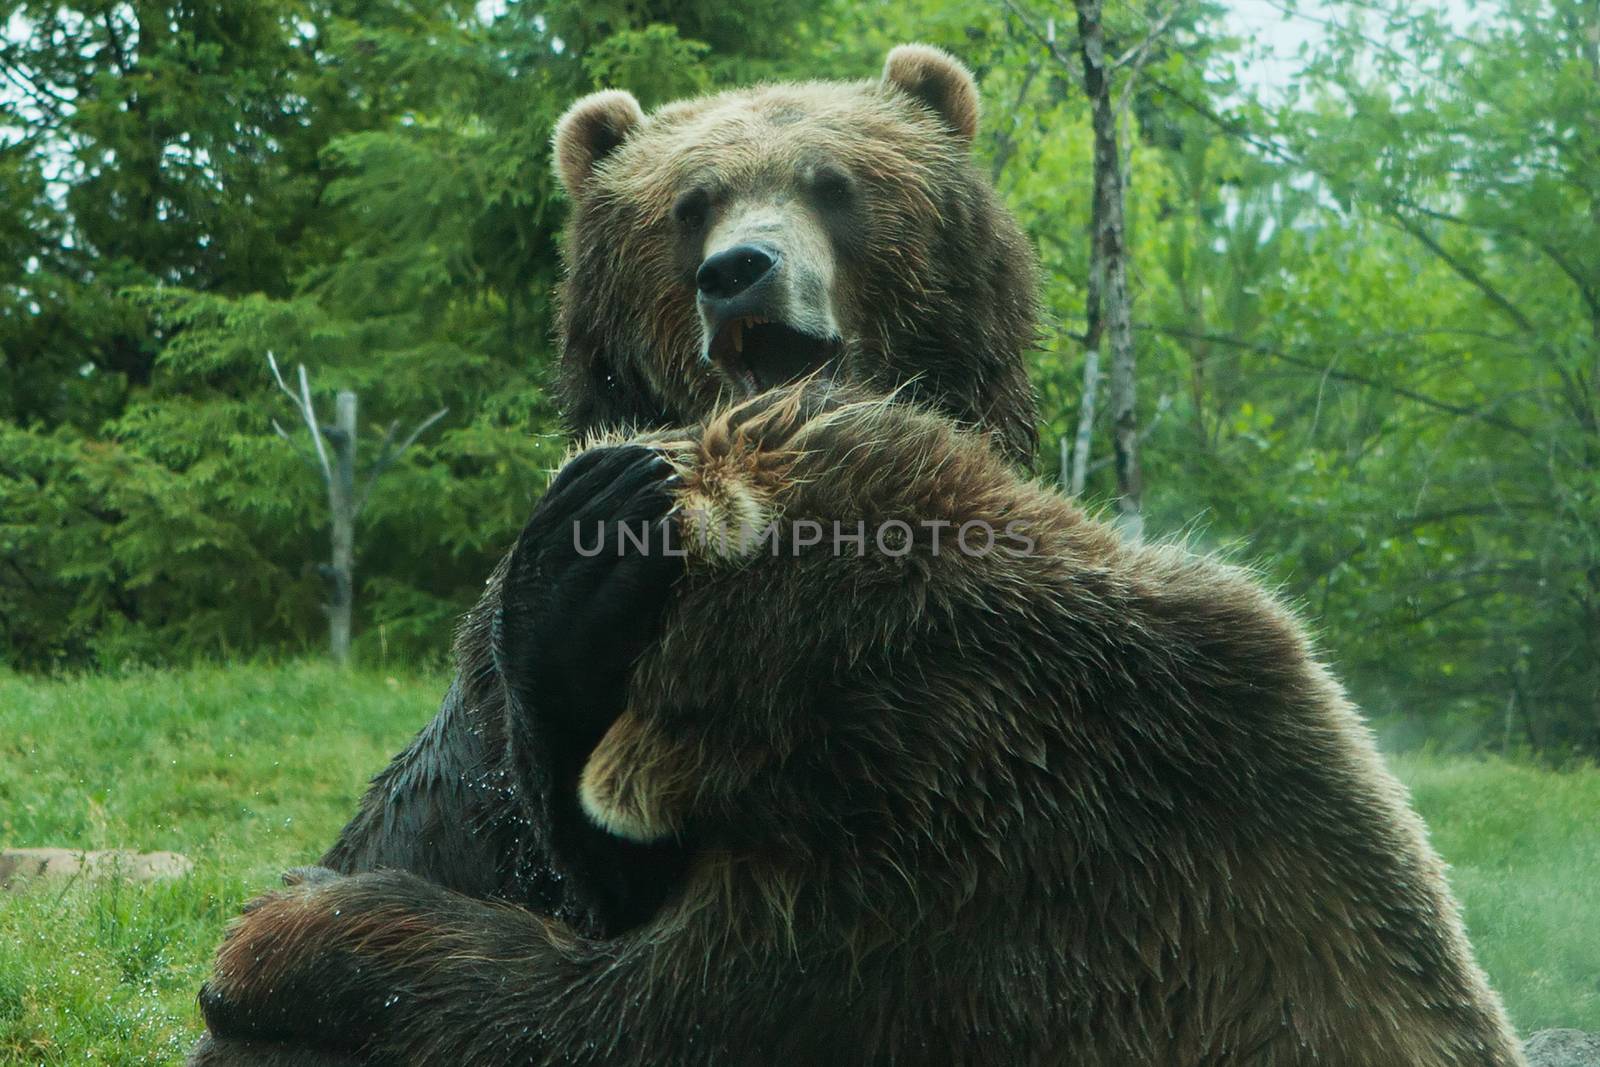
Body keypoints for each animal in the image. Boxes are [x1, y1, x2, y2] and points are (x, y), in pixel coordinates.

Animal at [187, 43, 1523, 1067]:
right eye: (688, 202)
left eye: (834, 185)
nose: (739, 271)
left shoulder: (938, 888)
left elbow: (589, 1002)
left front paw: (279, 935)